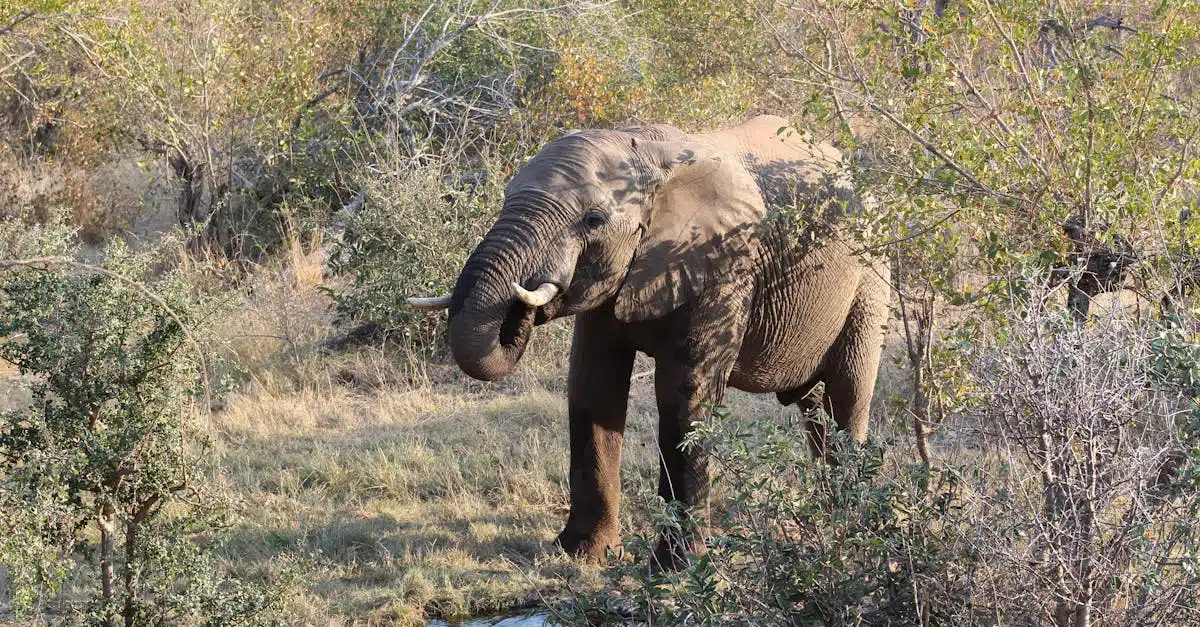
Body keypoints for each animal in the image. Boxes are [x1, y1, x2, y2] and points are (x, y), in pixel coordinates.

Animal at [412, 114, 892, 564]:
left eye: (593, 220)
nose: (519, 307)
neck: (647, 154)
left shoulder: (721, 263)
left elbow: (684, 398)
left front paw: (676, 569)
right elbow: (593, 388)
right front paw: (582, 554)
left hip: (871, 277)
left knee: (849, 392)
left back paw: (850, 519)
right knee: (814, 407)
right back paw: (826, 511)